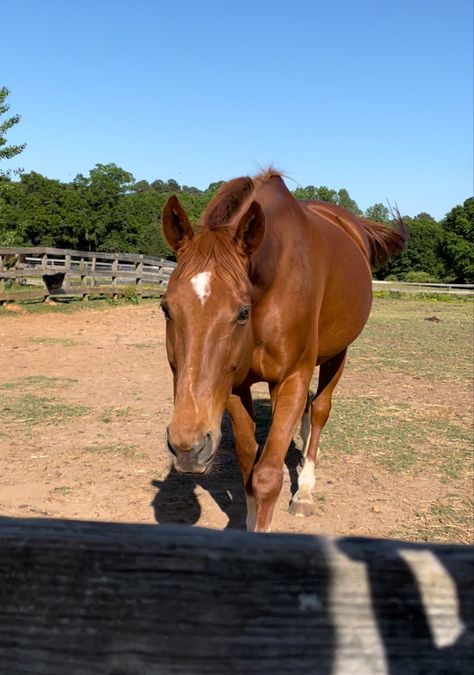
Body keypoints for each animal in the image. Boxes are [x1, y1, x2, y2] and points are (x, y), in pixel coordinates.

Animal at [161, 169, 406, 532]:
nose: (187, 447)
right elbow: (248, 458)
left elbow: (266, 476)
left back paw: (304, 490)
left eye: (242, 312)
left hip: (337, 354)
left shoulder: (291, 378)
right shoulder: (233, 386)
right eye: (166, 308)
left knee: (319, 410)